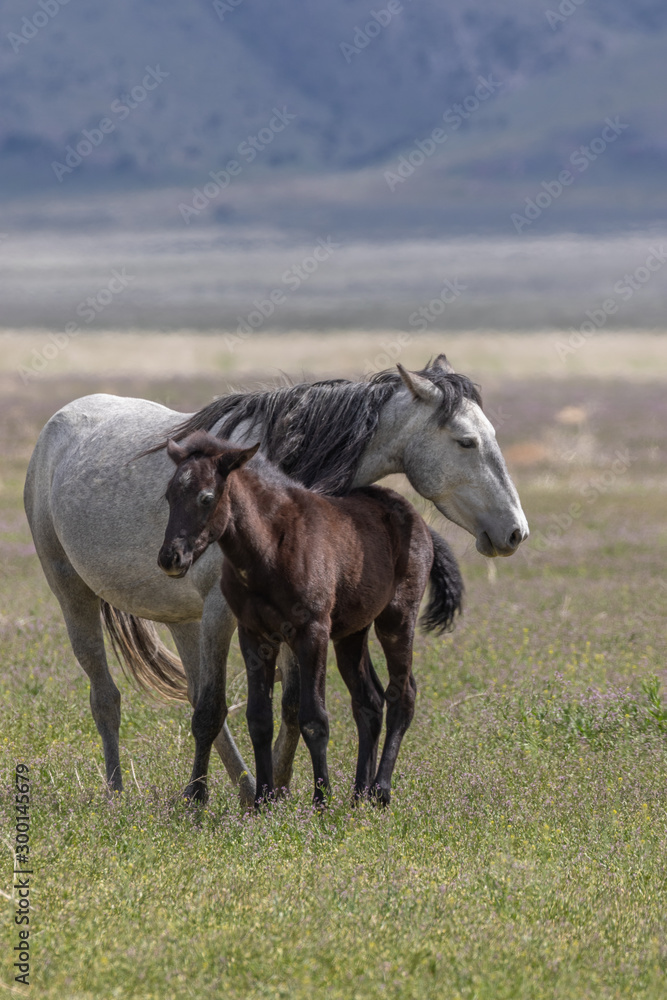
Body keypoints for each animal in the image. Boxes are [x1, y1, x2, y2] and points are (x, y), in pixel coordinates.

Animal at [158, 431, 464, 806]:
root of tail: (419, 523)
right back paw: (358, 795)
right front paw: (262, 801)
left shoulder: (312, 632)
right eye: (169, 495)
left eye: (206, 497)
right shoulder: (254, 634)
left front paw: (322, 801)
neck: (271, 548)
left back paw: (380, 791)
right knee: (369, 702)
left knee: (402, 695)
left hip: (397, 619)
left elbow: (314, 718)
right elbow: (259, 719)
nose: (171, 558)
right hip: (352, 634)